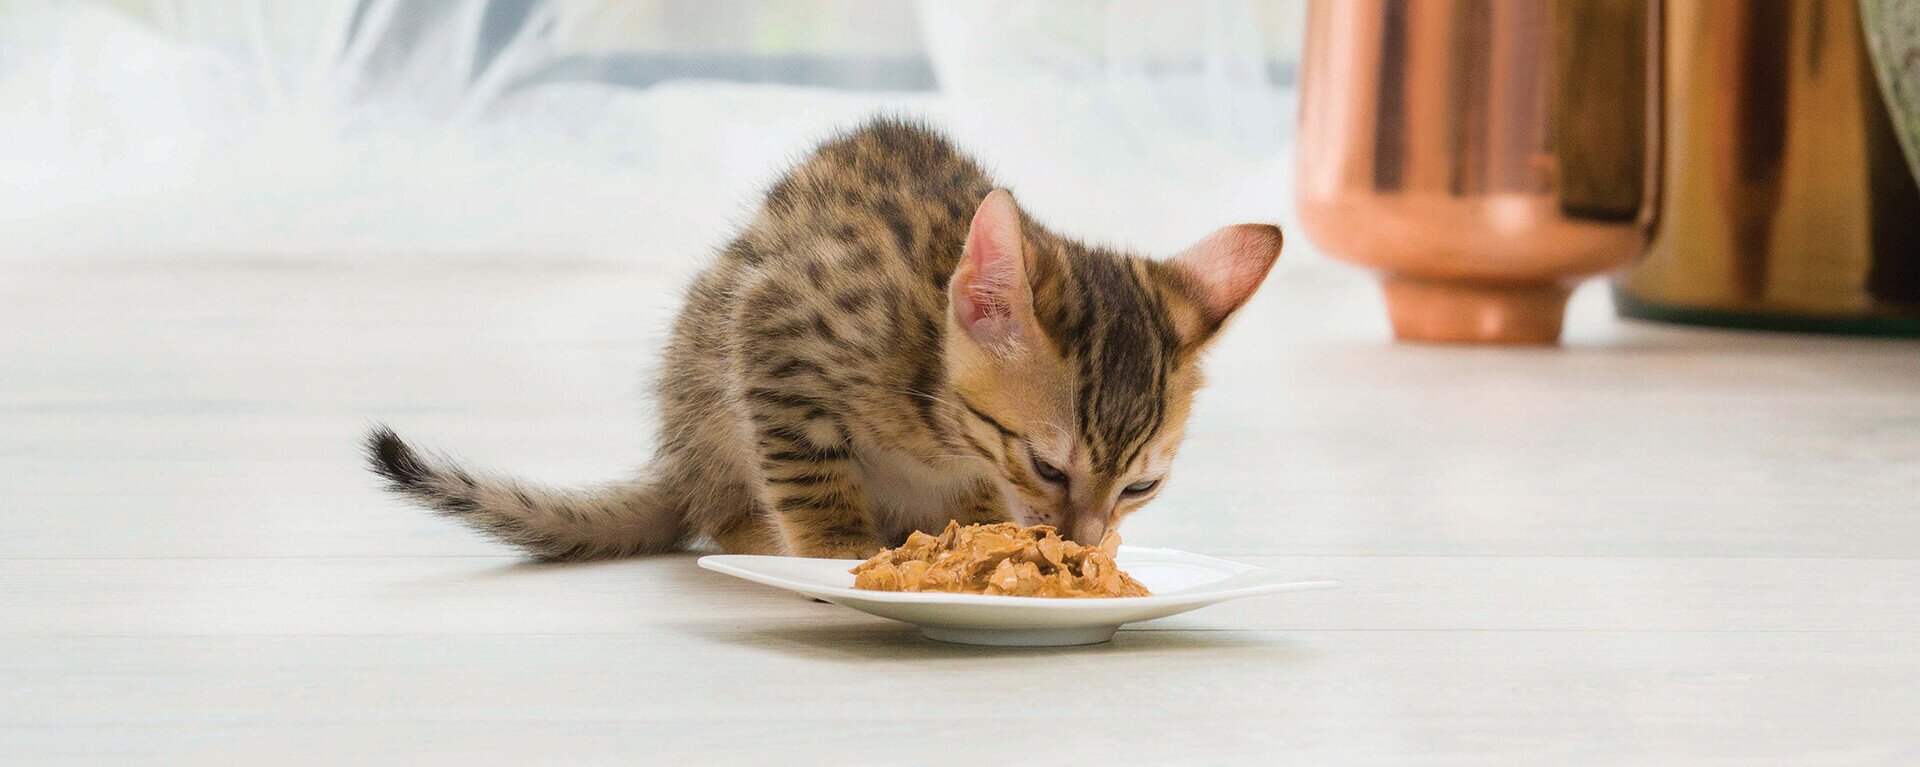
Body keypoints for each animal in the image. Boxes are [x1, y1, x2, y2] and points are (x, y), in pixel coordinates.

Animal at [366, 121, 1282, 565]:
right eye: (1049, 467)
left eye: (1141, 488)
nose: (1080, 542)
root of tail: (677, 463)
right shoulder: (775, 326)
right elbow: (806, 460)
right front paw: (838, 545)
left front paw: (983, 532)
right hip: (708, 371)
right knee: (725, 507)